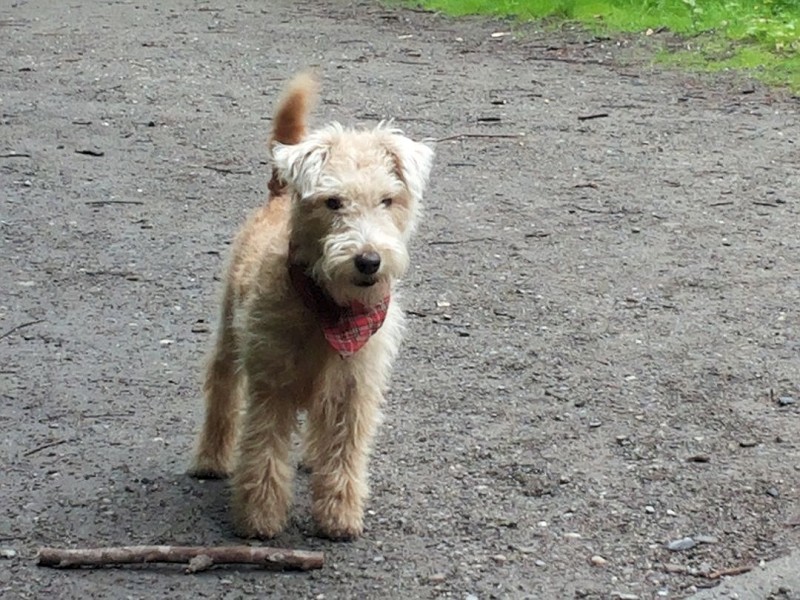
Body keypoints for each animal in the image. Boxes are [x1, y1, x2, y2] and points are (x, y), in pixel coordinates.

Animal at [188, 71, 434, 540]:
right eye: (333, 201)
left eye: (387, 200)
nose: (368, 260)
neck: (330, 309)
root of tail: (279, 193)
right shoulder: (271, 385)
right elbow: (264, 453)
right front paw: (260, 518)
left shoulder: (355, 388)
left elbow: (345, 456)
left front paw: (339, 516)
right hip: (230, 334)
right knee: (221, 389)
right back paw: (210, 458)